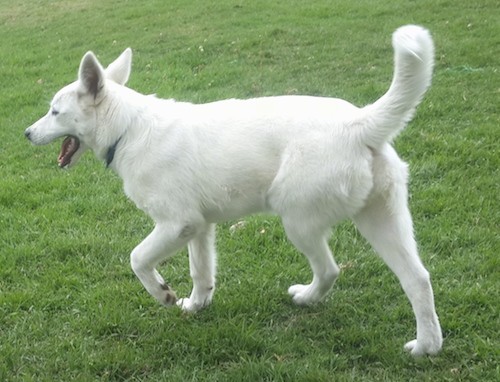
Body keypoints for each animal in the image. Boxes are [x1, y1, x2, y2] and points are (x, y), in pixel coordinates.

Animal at [26, 26, 442, 356]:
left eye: (54, 112)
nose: (26, 133)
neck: (129, 128)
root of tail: (359, 122)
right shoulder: (199, 227)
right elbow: (201, 272)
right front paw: (196, 306)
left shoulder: (176, 224)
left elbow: (138, 258)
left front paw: (163, 294)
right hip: (383, 221)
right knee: (418, 280)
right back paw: (427, 347)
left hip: (299, 223)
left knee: (330, 270)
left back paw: (307, 298)